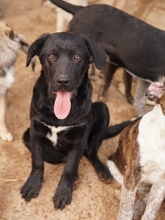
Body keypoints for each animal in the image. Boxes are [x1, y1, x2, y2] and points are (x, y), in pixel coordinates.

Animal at [20, 31, 131, 209]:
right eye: (51, 56)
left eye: (77, 57)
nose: (63, 81)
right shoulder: (36, 130)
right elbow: (37, 162)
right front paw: (32, 185)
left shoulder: (80, 138)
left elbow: (69, 168)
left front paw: (63, 192)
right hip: (26, 136)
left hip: (103, 109)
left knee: (90, 152)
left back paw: (101, 170)